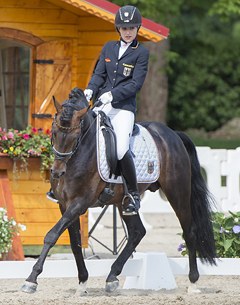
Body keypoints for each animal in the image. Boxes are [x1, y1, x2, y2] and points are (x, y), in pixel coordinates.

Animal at [20, 88, 216, 294]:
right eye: (54, 132)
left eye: (75, 136)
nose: (58, 172)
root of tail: (173, 135)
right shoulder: (65, 205)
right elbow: (74, 243)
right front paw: (82, 282)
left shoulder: (79, 203)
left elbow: (51, 235)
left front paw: (31, 280)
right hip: (124, 203)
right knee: (138, 232)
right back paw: (112, 276)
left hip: (178, 193)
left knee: (189, 231)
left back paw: (193, 282)